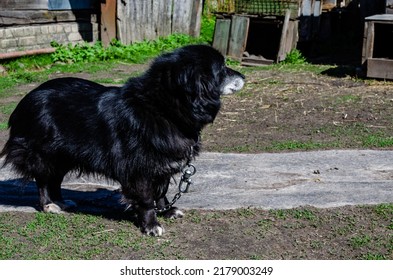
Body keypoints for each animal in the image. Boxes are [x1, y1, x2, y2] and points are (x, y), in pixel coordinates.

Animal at [0, 44, 245, 236]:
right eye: (222, 69)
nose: (244, 76)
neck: (162, 108)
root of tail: (25, 101)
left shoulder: (161, 165)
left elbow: (162, 192)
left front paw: (166, 210)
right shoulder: (140, 169)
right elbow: (146, 200)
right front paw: (150, 225)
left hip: (64, 155)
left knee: (55, 180)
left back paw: (60, 201)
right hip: (45, 153)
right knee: (43, 180)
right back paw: (48, 205)